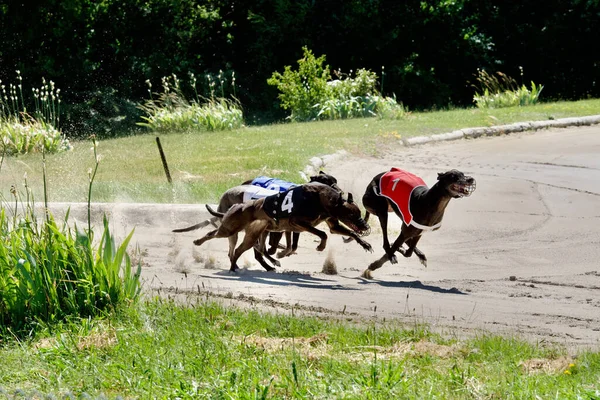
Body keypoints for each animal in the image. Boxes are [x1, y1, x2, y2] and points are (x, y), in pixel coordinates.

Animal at [193, 184, 370, 272]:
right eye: (351, 214)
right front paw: (320, 246)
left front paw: (366, 244)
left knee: (244, 251)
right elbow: (323, 234)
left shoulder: (332, 224)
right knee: (213, 234)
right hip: (230, 229)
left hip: (252, 235)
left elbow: (350, 233)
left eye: (358, 212)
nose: (366, 226)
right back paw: (197, 242)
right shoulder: (298, 223)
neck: (321, 199)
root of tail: (236, 206)